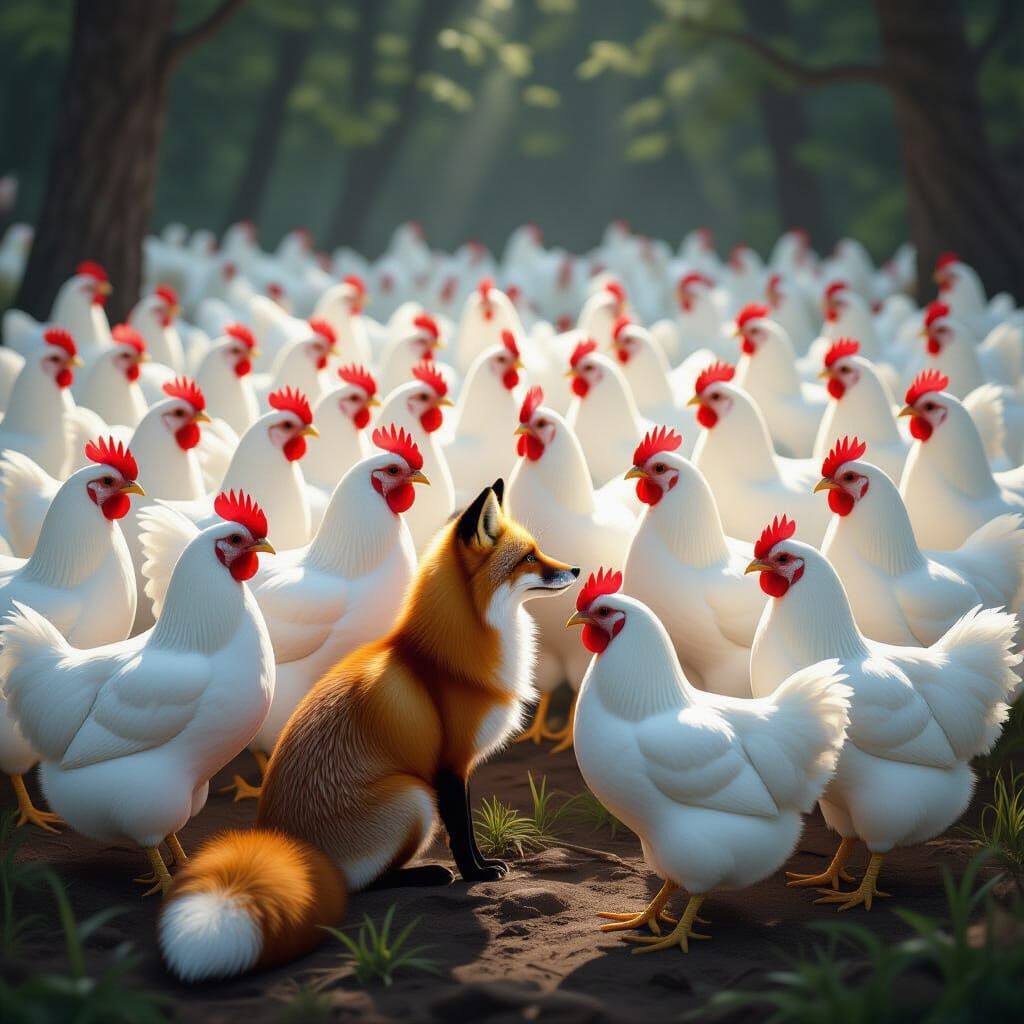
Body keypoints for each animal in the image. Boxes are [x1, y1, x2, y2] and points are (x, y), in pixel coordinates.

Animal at [158, 480, 579, 982]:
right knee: (360, 884)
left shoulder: (456, 768)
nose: (576, 568)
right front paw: (477, 873)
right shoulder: (450, 765)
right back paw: (425, 874)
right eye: (529, 557)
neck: (443, 659)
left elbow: (465, 828)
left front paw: (481, 869)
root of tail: (280, 844)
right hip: (413, 797)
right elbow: (462, 831)